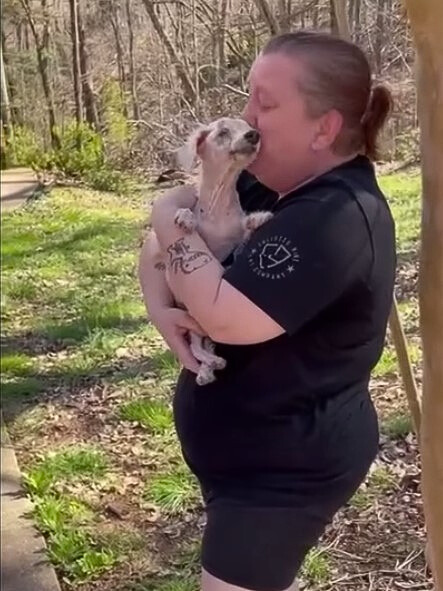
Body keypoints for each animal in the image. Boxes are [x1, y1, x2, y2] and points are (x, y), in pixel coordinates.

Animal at [160, 118, 272, 386]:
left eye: (247, 126)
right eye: (222, 132)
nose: (254, 135)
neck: (220, 206)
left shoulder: (235, 244)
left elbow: (243, 235)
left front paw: (257, 219)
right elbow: (189, 216)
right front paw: (185, 217)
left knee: (202, 346)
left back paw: (210, 364)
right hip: (191, 322)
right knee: (196, 348)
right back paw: (207, 367)